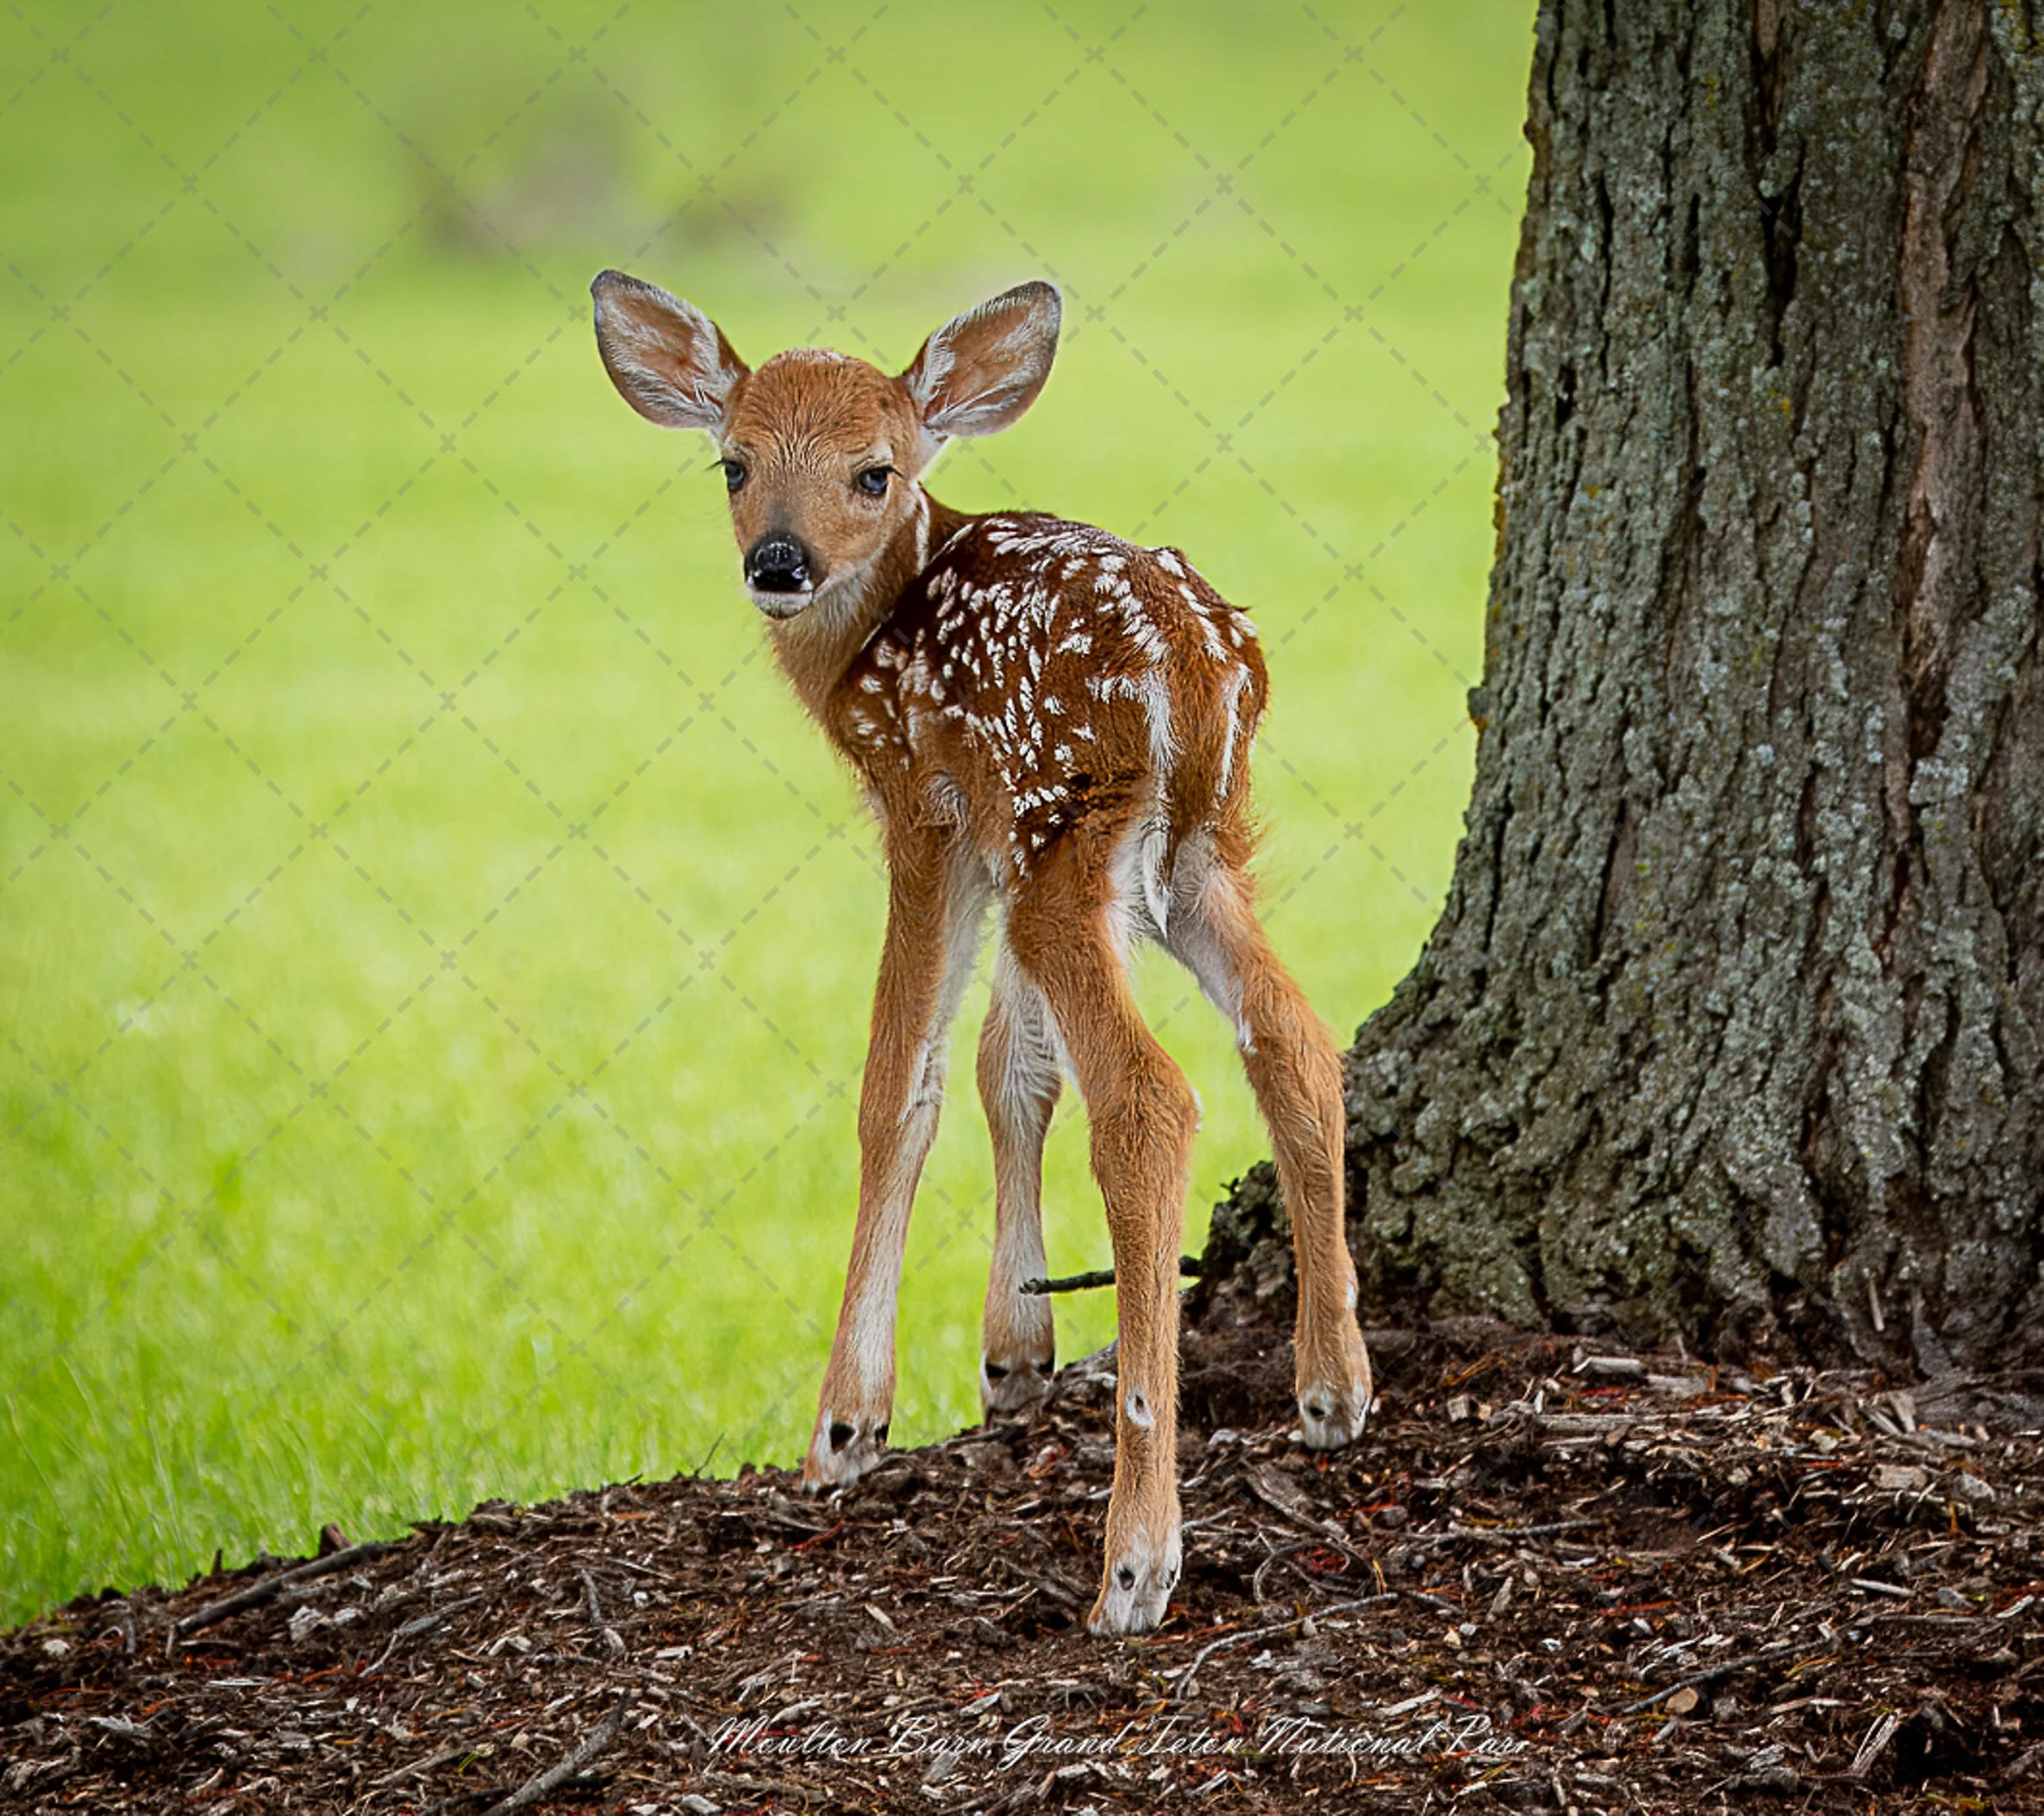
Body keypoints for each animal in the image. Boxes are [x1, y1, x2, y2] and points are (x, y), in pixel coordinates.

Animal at [589, 270, 1374, 1635]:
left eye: (875, 472)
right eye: (733, 462)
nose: (777, 563)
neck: (870, 638)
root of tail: (1198, 669)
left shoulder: (930, 809)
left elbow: (898, 1082)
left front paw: (848, 1422)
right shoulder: (1003, 831)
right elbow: (1013, 1063)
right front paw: (1014, 1350)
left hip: (1075, 831)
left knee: (1151, 1094)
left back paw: (1135, 1561)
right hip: (1184, 852)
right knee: (1292, 1034)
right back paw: (1332, 1388)